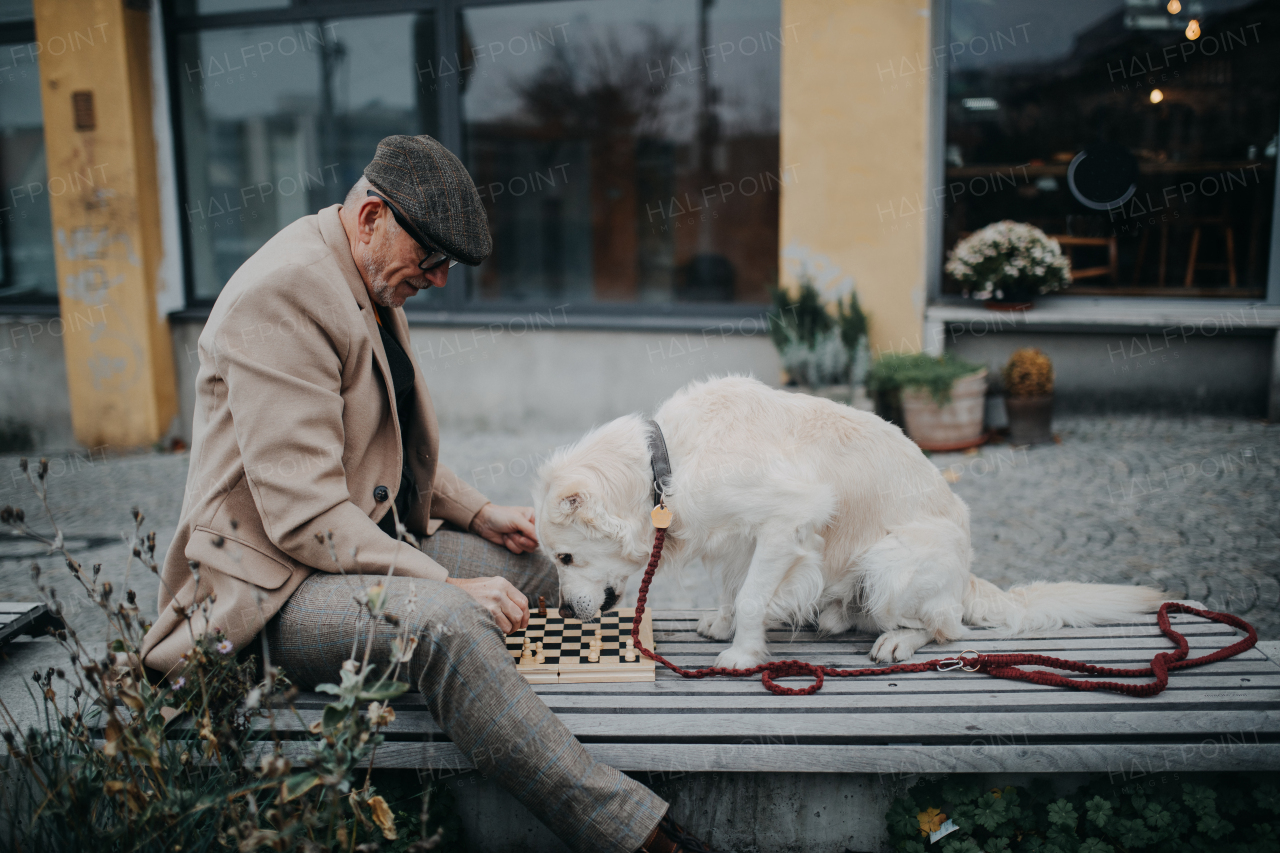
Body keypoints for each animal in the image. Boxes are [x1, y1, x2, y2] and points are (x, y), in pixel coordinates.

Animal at [529, 376, 1172, 666]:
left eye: (564, 557)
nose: (564, 614)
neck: (670, 461)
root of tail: (967, 576)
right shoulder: (742, 537)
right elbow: (737, 587)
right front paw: (722, 623)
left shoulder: (788, 516)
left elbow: (752, 597)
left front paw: (743, 653)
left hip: (894, 564)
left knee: (946, 629)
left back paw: (896, 640)